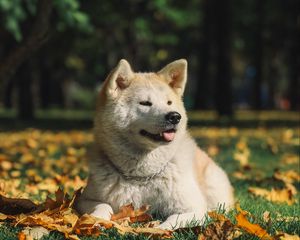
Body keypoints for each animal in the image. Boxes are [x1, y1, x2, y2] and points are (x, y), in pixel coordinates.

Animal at [75, 58, 234, 229]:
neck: (141, 176)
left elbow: (172, 220)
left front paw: (158, 230)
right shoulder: (84, 200)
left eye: (169, 102)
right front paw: (96, 220)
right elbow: (103, 206)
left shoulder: (194, 209)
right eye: (145, 103)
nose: (175, 116)